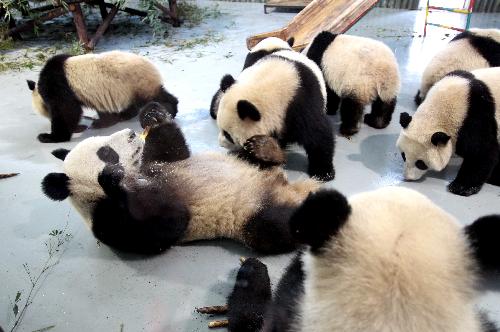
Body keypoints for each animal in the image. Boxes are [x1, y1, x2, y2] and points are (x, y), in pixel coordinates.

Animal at [27, 51, 178, 143]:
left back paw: (170, 109)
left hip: (137, 82)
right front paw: (99, 122)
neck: (39, 90)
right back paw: (123, 115)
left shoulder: (59, 87)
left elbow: (67, 111)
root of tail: (152, 67)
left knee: (156, 96)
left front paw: (50, 137)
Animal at [39, 101, 320, 254]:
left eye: (102, 142)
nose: (130, 133)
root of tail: (288, 187)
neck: (138, 175)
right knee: (274, 227)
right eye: (105, 152)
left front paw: (152, 115)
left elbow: (172, 151)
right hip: (249, 216)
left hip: (242, 161)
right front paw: (112, 180)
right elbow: (167, 224)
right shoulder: (106, 221)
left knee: (250, 156)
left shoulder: (157, 165)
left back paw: (265, 149)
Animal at [396, 68, 498, 197]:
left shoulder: (475, 117)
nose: (408, 177)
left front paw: (461, 187)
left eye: (420, 163)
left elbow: (482, 151)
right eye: (403, 155)